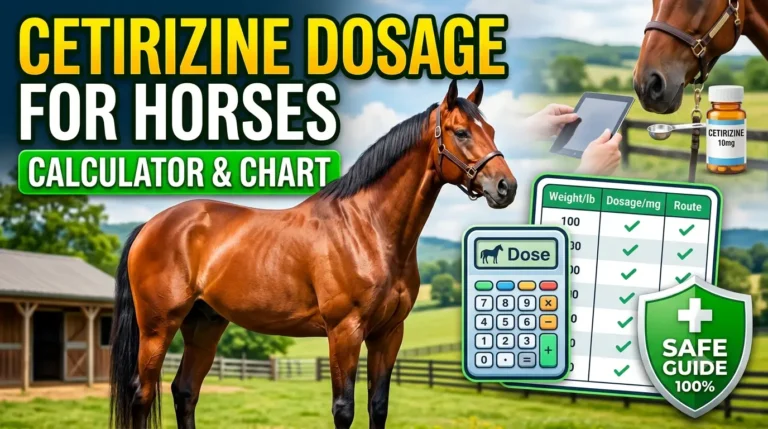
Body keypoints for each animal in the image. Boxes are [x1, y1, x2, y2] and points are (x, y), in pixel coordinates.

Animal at [109, 80, 517, 429]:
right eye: (461, 132)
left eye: (493, 130)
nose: (506, 187)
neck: (368, 228)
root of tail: (151, 225)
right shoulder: (345, 331)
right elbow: (344, 409)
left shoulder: (388, 333)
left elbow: (378, 406)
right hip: (158, 327)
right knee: (143, 394)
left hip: (204, 324)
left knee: (185, 391)